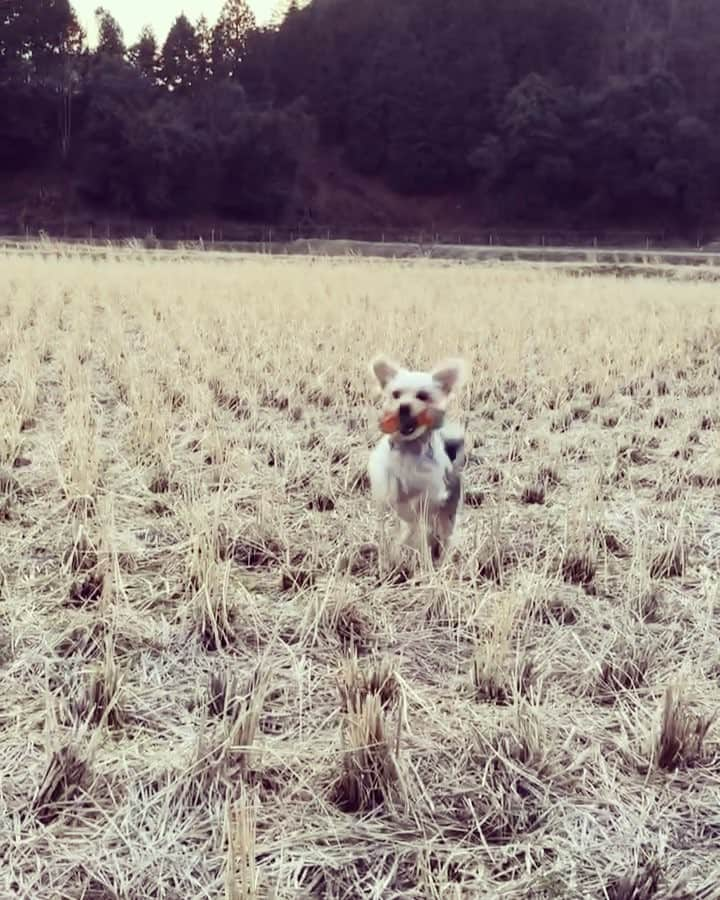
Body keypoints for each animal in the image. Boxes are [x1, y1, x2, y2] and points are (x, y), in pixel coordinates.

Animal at [368, 352, 464, 564]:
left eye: (423, 396)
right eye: (396, 394)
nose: (403, 407)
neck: (409, 447)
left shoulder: (431, 493)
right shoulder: (386, 483)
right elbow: (391, 487)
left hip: (446, 517)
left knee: (442, 536)